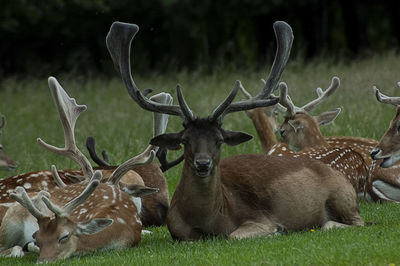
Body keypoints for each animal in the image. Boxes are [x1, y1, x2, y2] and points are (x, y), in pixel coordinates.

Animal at [105, 20, 362, 240]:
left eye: (219, 139)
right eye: (185, 139)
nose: (202, 164)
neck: (208, 223)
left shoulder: (259, 218)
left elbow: (234, 234)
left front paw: (276, 231)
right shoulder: (177, 232)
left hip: (343, 197)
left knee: (353, 222)